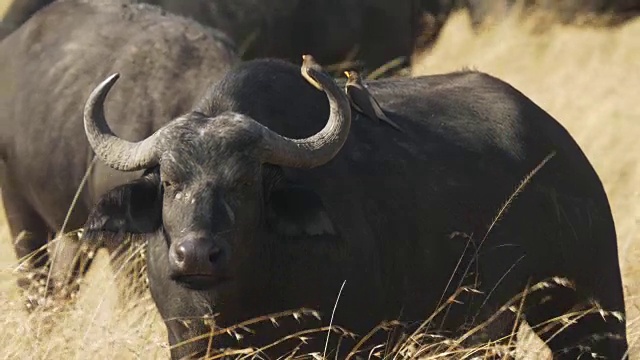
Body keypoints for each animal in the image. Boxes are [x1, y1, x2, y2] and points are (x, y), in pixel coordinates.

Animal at [82, 57, 628, 358]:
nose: (196, 255)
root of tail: (565, 153)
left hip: (589, 305)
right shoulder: (187, 342)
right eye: (170, 182)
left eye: (244, 182)